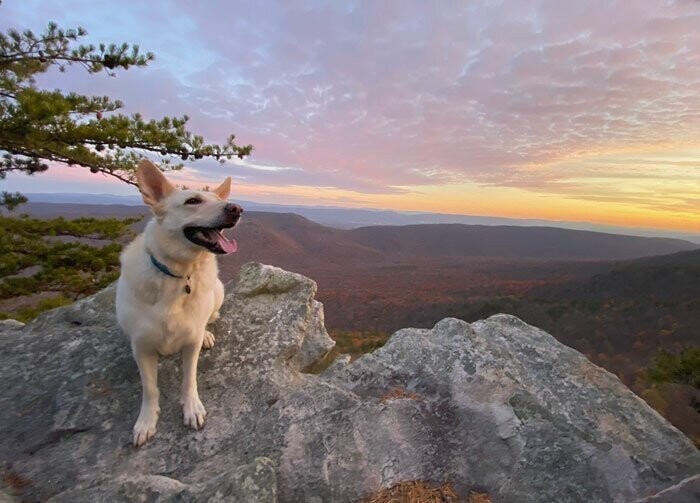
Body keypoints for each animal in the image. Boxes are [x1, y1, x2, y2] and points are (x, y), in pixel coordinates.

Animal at [116, 159, 242, 446]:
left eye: (219, 199)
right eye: (192, 201)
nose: (236, 209)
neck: (179, 274)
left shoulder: (190, 342)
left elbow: (189, 379)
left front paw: (192, 407)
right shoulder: (142, 347)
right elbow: (150, 388)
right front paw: (146, 420)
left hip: (218, 291)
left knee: (209, 318)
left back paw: (208, 333)